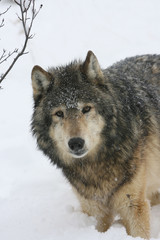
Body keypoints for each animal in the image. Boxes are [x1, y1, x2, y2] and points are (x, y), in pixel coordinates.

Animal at [31, 50, 160, 238]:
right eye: (59, 113)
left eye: (86, 109)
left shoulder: (134, 205)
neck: (94, 165)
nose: (76, 143)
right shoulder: (94, 211)